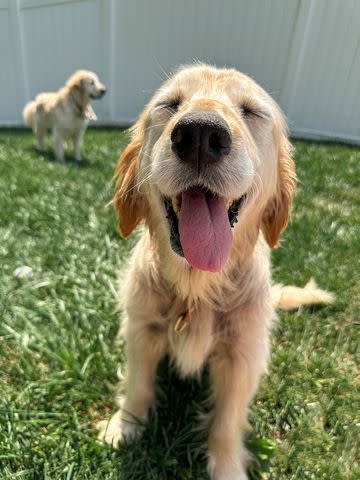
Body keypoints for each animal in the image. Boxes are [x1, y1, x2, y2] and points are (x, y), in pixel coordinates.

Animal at [97, 64, 334, 480]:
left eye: (251, 111)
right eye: (169, 104)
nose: (199, 136)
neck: (197, 287)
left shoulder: (242, 356)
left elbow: (227, 419)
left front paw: (226, 467)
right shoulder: (141, 328)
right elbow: (139, 383)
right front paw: (125, 424)